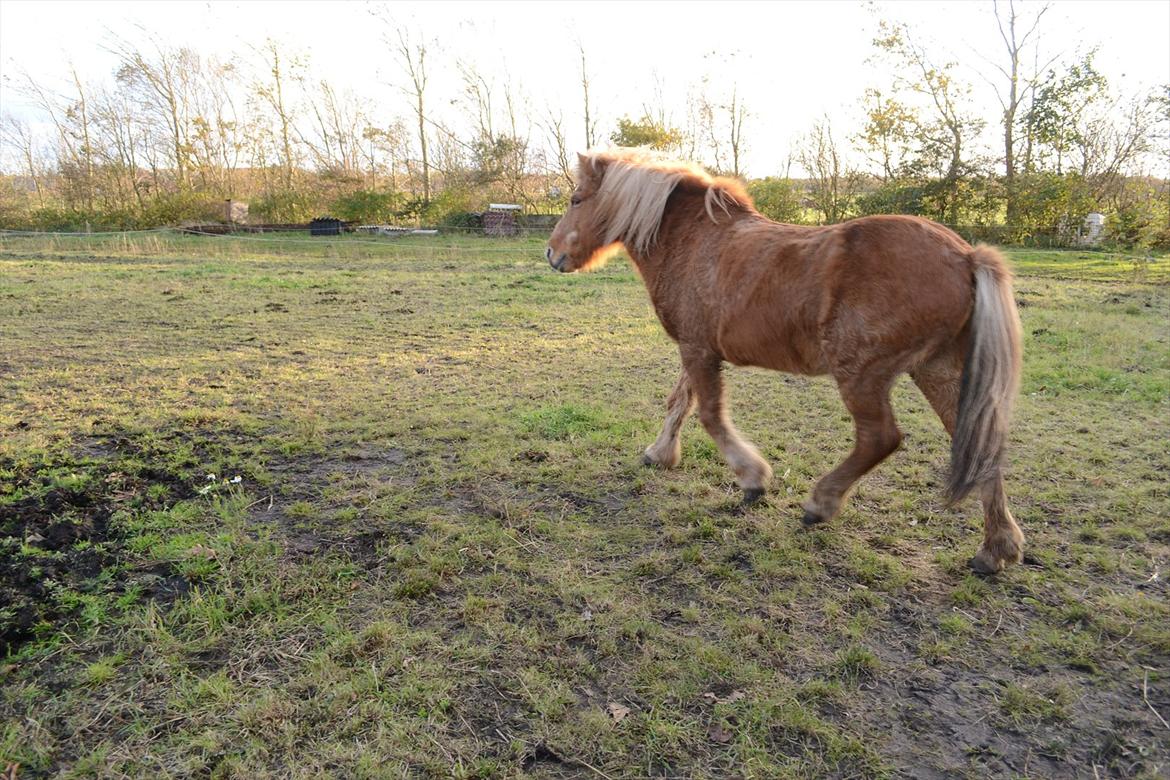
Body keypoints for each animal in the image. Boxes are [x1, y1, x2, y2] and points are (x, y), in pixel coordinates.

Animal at [547, 149, 1024, 573]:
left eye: (575, 199)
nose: (551, 254)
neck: (691, 241)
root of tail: (966, 256)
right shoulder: (693, 346)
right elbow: (679, 402)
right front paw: (660, 454)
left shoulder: (699, 350)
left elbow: (709, 415)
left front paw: (753, 479)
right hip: (936, 370)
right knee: (977, 442)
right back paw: (995, 549)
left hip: (863, 375)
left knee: (880, 438)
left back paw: (820, 504)